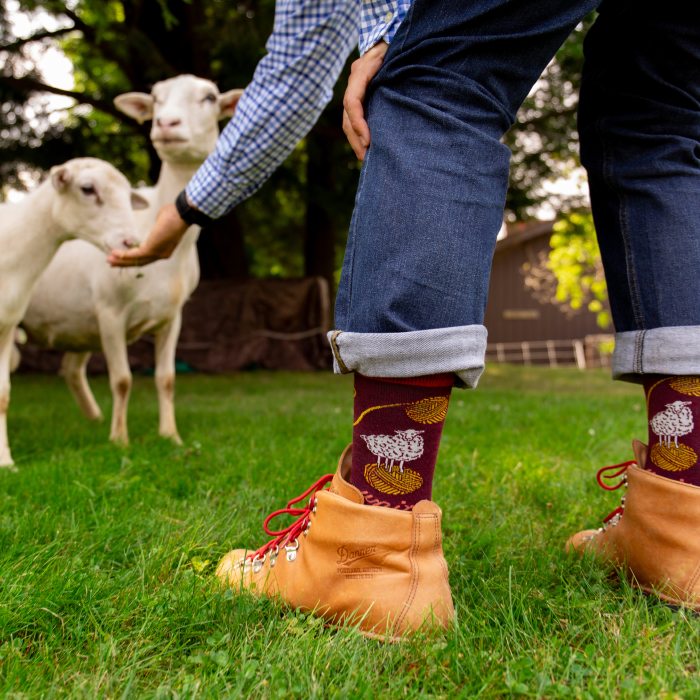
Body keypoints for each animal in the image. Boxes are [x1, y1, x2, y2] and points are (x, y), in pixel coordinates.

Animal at [0, 156, 148, 468]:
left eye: (128, 195)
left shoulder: (6, 327)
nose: (130, 243)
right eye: (87, 188)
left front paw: (5, 461)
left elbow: (3, 395)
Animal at [21, 75, 245, 442]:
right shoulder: (110, 312)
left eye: (210, 98)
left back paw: (94, 419)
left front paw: (170, 435)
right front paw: (120, 440)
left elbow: (166, 379)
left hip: (78, 322)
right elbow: (123, 380)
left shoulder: (172, 317)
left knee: (70, 369)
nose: (166, 123)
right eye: (156, 99)